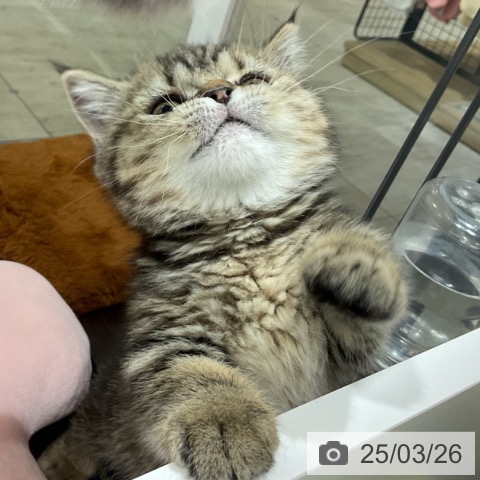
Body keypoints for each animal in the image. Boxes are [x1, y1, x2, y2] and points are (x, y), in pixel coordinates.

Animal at [39, 13, 408, 480]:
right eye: (164, 105)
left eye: (253, 77)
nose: (219, 91)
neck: (247, 236)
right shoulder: (163, 334)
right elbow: (188, 367)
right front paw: (223, 417)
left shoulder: (345, 369)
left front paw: (357, 261)